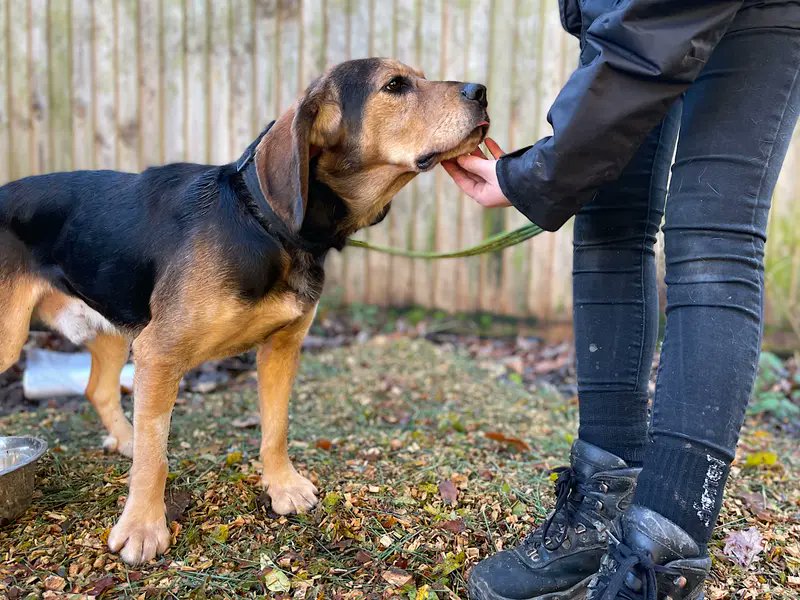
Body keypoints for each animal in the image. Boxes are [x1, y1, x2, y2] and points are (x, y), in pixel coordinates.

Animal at [0, 58, 488, 564]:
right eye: (394, 85)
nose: (482, 92)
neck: (266, 224)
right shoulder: (160, 353)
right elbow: (156, 459)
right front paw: (142, 528)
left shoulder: (281, 347)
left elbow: (275, 428)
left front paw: (282, 486)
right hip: (15, 336)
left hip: (115, 324)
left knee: (98, 388)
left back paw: (126, 438)